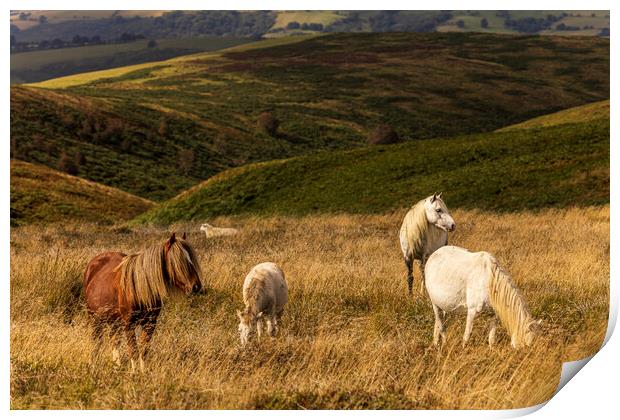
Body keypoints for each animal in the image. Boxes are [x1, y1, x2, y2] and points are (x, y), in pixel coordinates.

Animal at [82, 233, 202, 370]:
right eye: (178, 261)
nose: (196, 286)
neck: (139, 289)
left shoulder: (150, 323)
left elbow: (144, 351)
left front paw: (143, 372)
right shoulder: (128, 324)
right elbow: (133, 351)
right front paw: (135, 373)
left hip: (114, 321)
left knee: (114, 340)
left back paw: (117, 366)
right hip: (95, 318)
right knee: (96, 341)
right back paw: (93, 365)